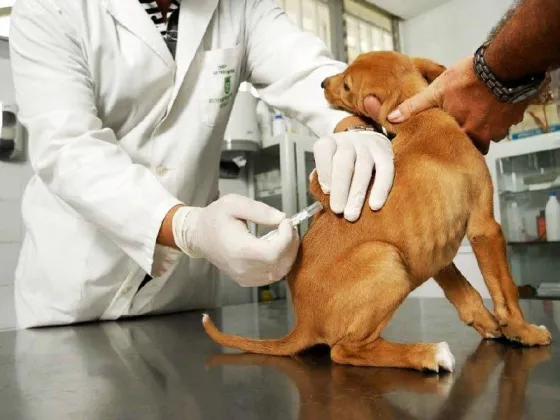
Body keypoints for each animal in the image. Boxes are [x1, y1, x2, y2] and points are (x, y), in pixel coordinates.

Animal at [201, 51, 552, 370]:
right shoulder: (485, 227)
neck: (419, 120)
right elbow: (506, 293)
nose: (321, 83)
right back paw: (426, 354)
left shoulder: (436, 253)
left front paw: (491, 326)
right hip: (387, 260)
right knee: (345, 350)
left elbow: (467, 295)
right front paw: (524, 331)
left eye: (345, 84)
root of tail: (303, 323)